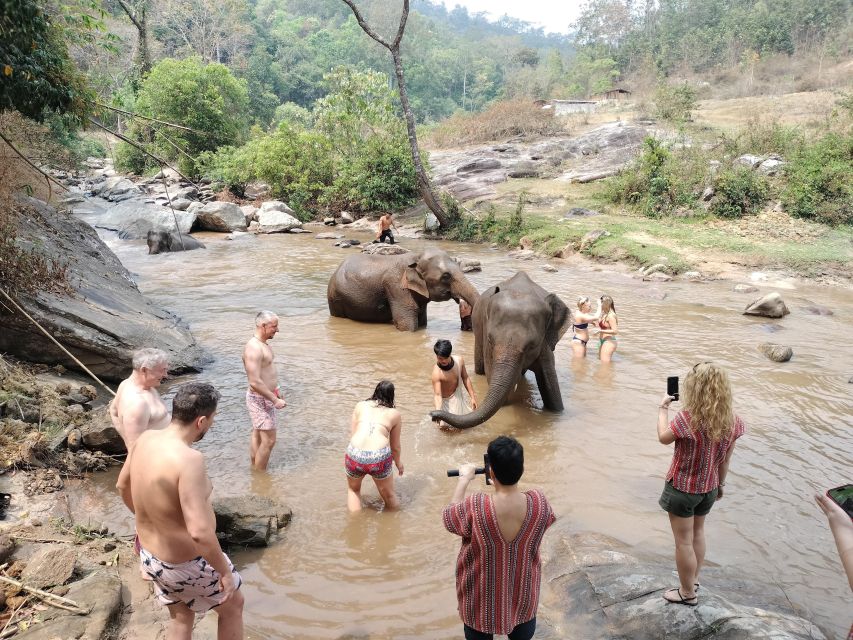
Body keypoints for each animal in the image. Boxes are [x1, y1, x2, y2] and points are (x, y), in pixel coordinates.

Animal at [328, 249, 480, 332]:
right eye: (446, 276)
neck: (416, 256)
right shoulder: (396, 286)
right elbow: (407, 324)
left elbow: (422, 321)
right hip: (335, 298)